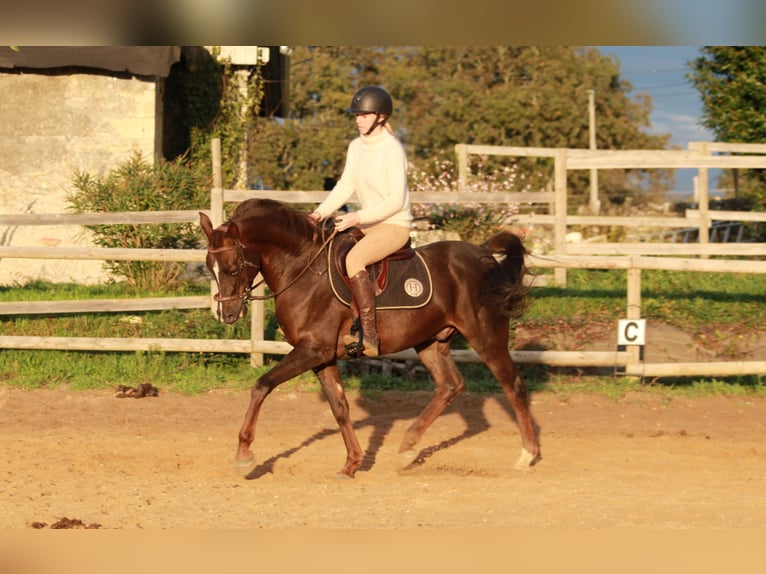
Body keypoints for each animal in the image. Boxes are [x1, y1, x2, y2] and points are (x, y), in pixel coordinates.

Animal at [201, 200, 544, 480]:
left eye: (233, 268)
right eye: (209, 267)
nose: (226, 314)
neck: (303, 270)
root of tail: (484, 255)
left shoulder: (312, 350)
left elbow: (262, 386)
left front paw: (244, 455)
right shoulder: (322, 357)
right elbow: (340, 407)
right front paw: (352, 463)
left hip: (486, 336)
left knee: (513, 385)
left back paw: (528, 454)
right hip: (431, 343)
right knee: (450, 385)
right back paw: (408, 448)